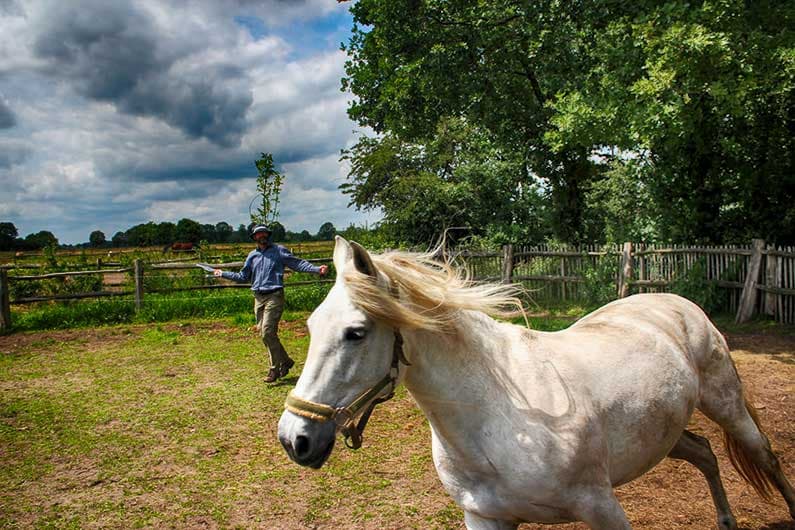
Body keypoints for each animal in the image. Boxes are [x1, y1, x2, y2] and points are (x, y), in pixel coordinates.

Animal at [278, 236, 795, 529]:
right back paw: (725, 520)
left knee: (765, 455)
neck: (496, 420)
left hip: (725, 402)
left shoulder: (602, 508)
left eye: (356, 332)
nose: (293, 439)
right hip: (664, 435)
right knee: (705, 453)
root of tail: (675, 301)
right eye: (310, 327)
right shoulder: (486, 519)